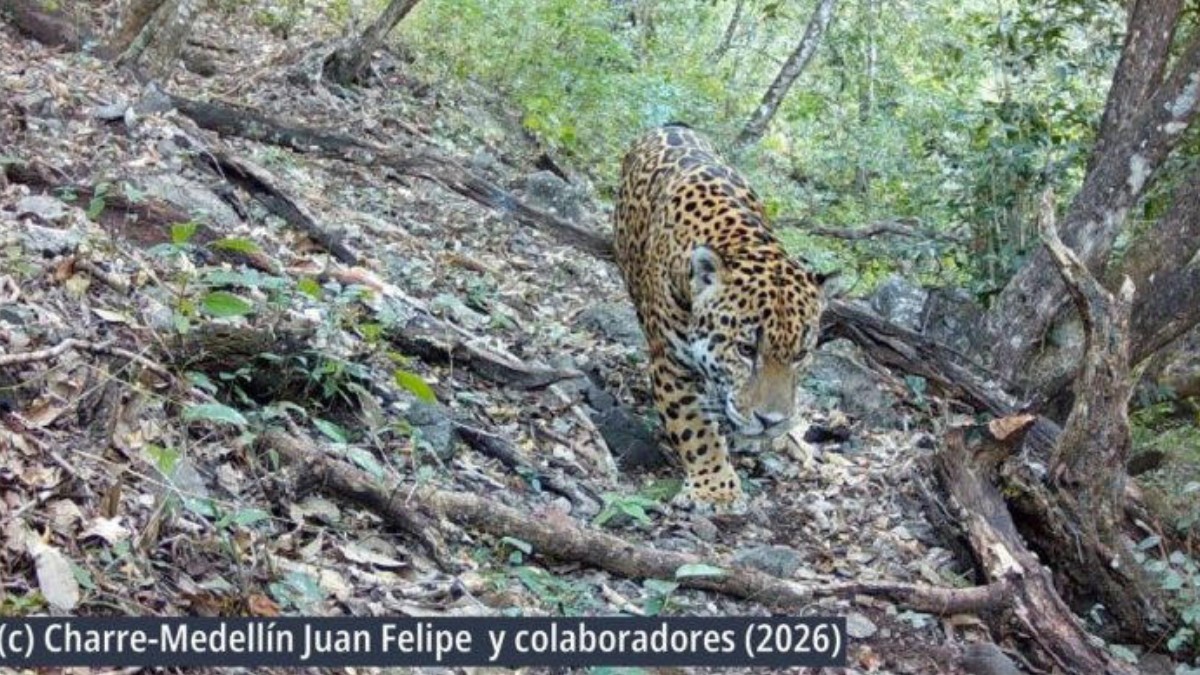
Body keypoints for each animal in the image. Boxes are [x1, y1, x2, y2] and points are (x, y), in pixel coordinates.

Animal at [612, 124, 824, 509]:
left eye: (801, 355)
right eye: (746, 350)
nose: (771, 422)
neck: (742, 240)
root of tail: (671, 125)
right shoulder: (671, 364)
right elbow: (695, 429)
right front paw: (716, 490)